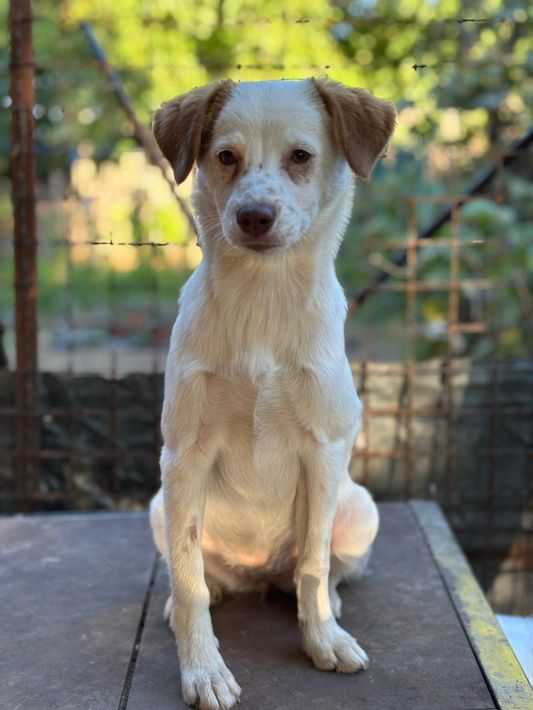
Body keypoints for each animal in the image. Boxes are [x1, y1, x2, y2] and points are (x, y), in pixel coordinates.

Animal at [149, 78, 396, 710]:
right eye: (225, 156)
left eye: (301, 156)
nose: (254, 216)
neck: (261, 302)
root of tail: (258, 570)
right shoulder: (183, 455)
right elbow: (188, 576)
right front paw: (202, 670)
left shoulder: (324, 450)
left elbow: (313, 562)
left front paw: (322, 641)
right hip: (161, 506)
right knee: (199, 575)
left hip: (360, 509)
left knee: (319, 568)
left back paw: (329, 606)